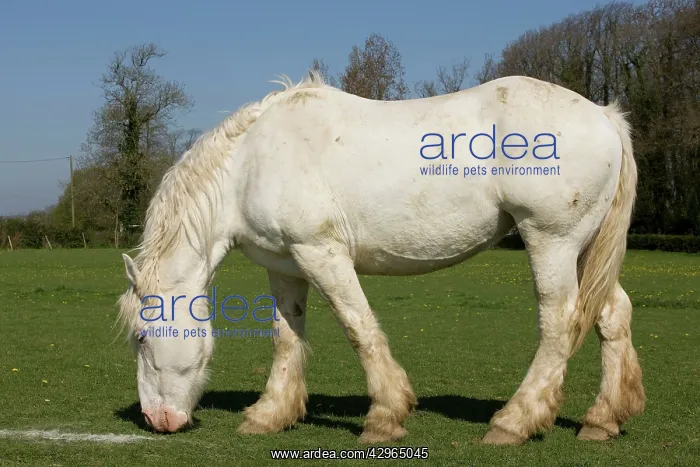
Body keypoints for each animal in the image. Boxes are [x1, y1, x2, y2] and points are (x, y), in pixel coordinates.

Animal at [117, 70, 645, 445]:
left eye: (142, 337)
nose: (156, 420)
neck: (251, 162)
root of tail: (604, 115)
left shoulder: (322, 253)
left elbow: (359, 327)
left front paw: (385, 416)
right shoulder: (284, 267)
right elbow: (286, 339)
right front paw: (270, 414)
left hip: (551, 241)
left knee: (559, 325)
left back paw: (514, 422)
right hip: (584, 249)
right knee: (612, 315)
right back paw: (603, 419)